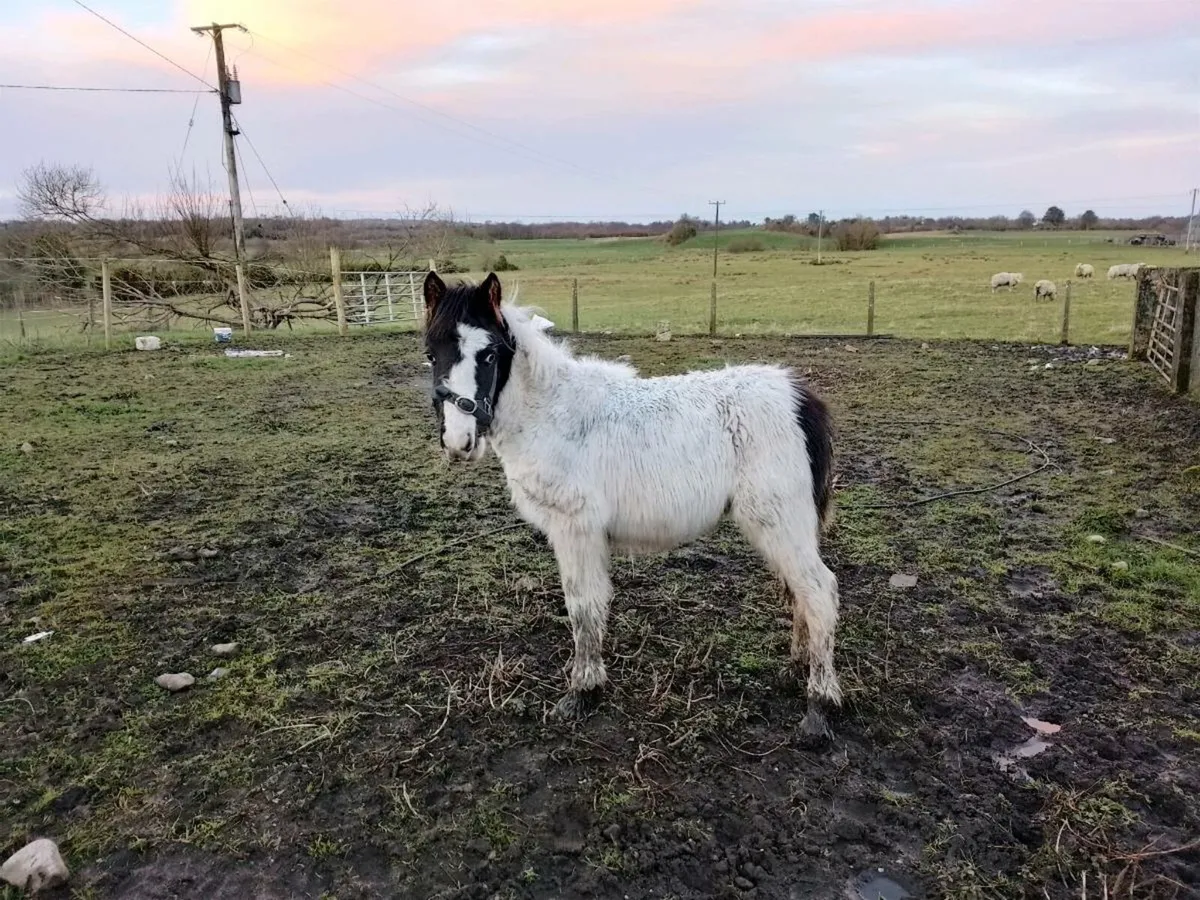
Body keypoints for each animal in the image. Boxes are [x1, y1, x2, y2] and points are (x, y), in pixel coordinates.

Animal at [422, 271, 842, 738]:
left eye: (490, 354)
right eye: (431, 354)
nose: (458, 442)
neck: (550, 414)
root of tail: (797, 396)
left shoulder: (575, 529)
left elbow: (582, 605)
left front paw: (582, 691)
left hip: (780, 522)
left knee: (819, 591)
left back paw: (819, 704)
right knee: (801, 592)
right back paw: (796, 669)